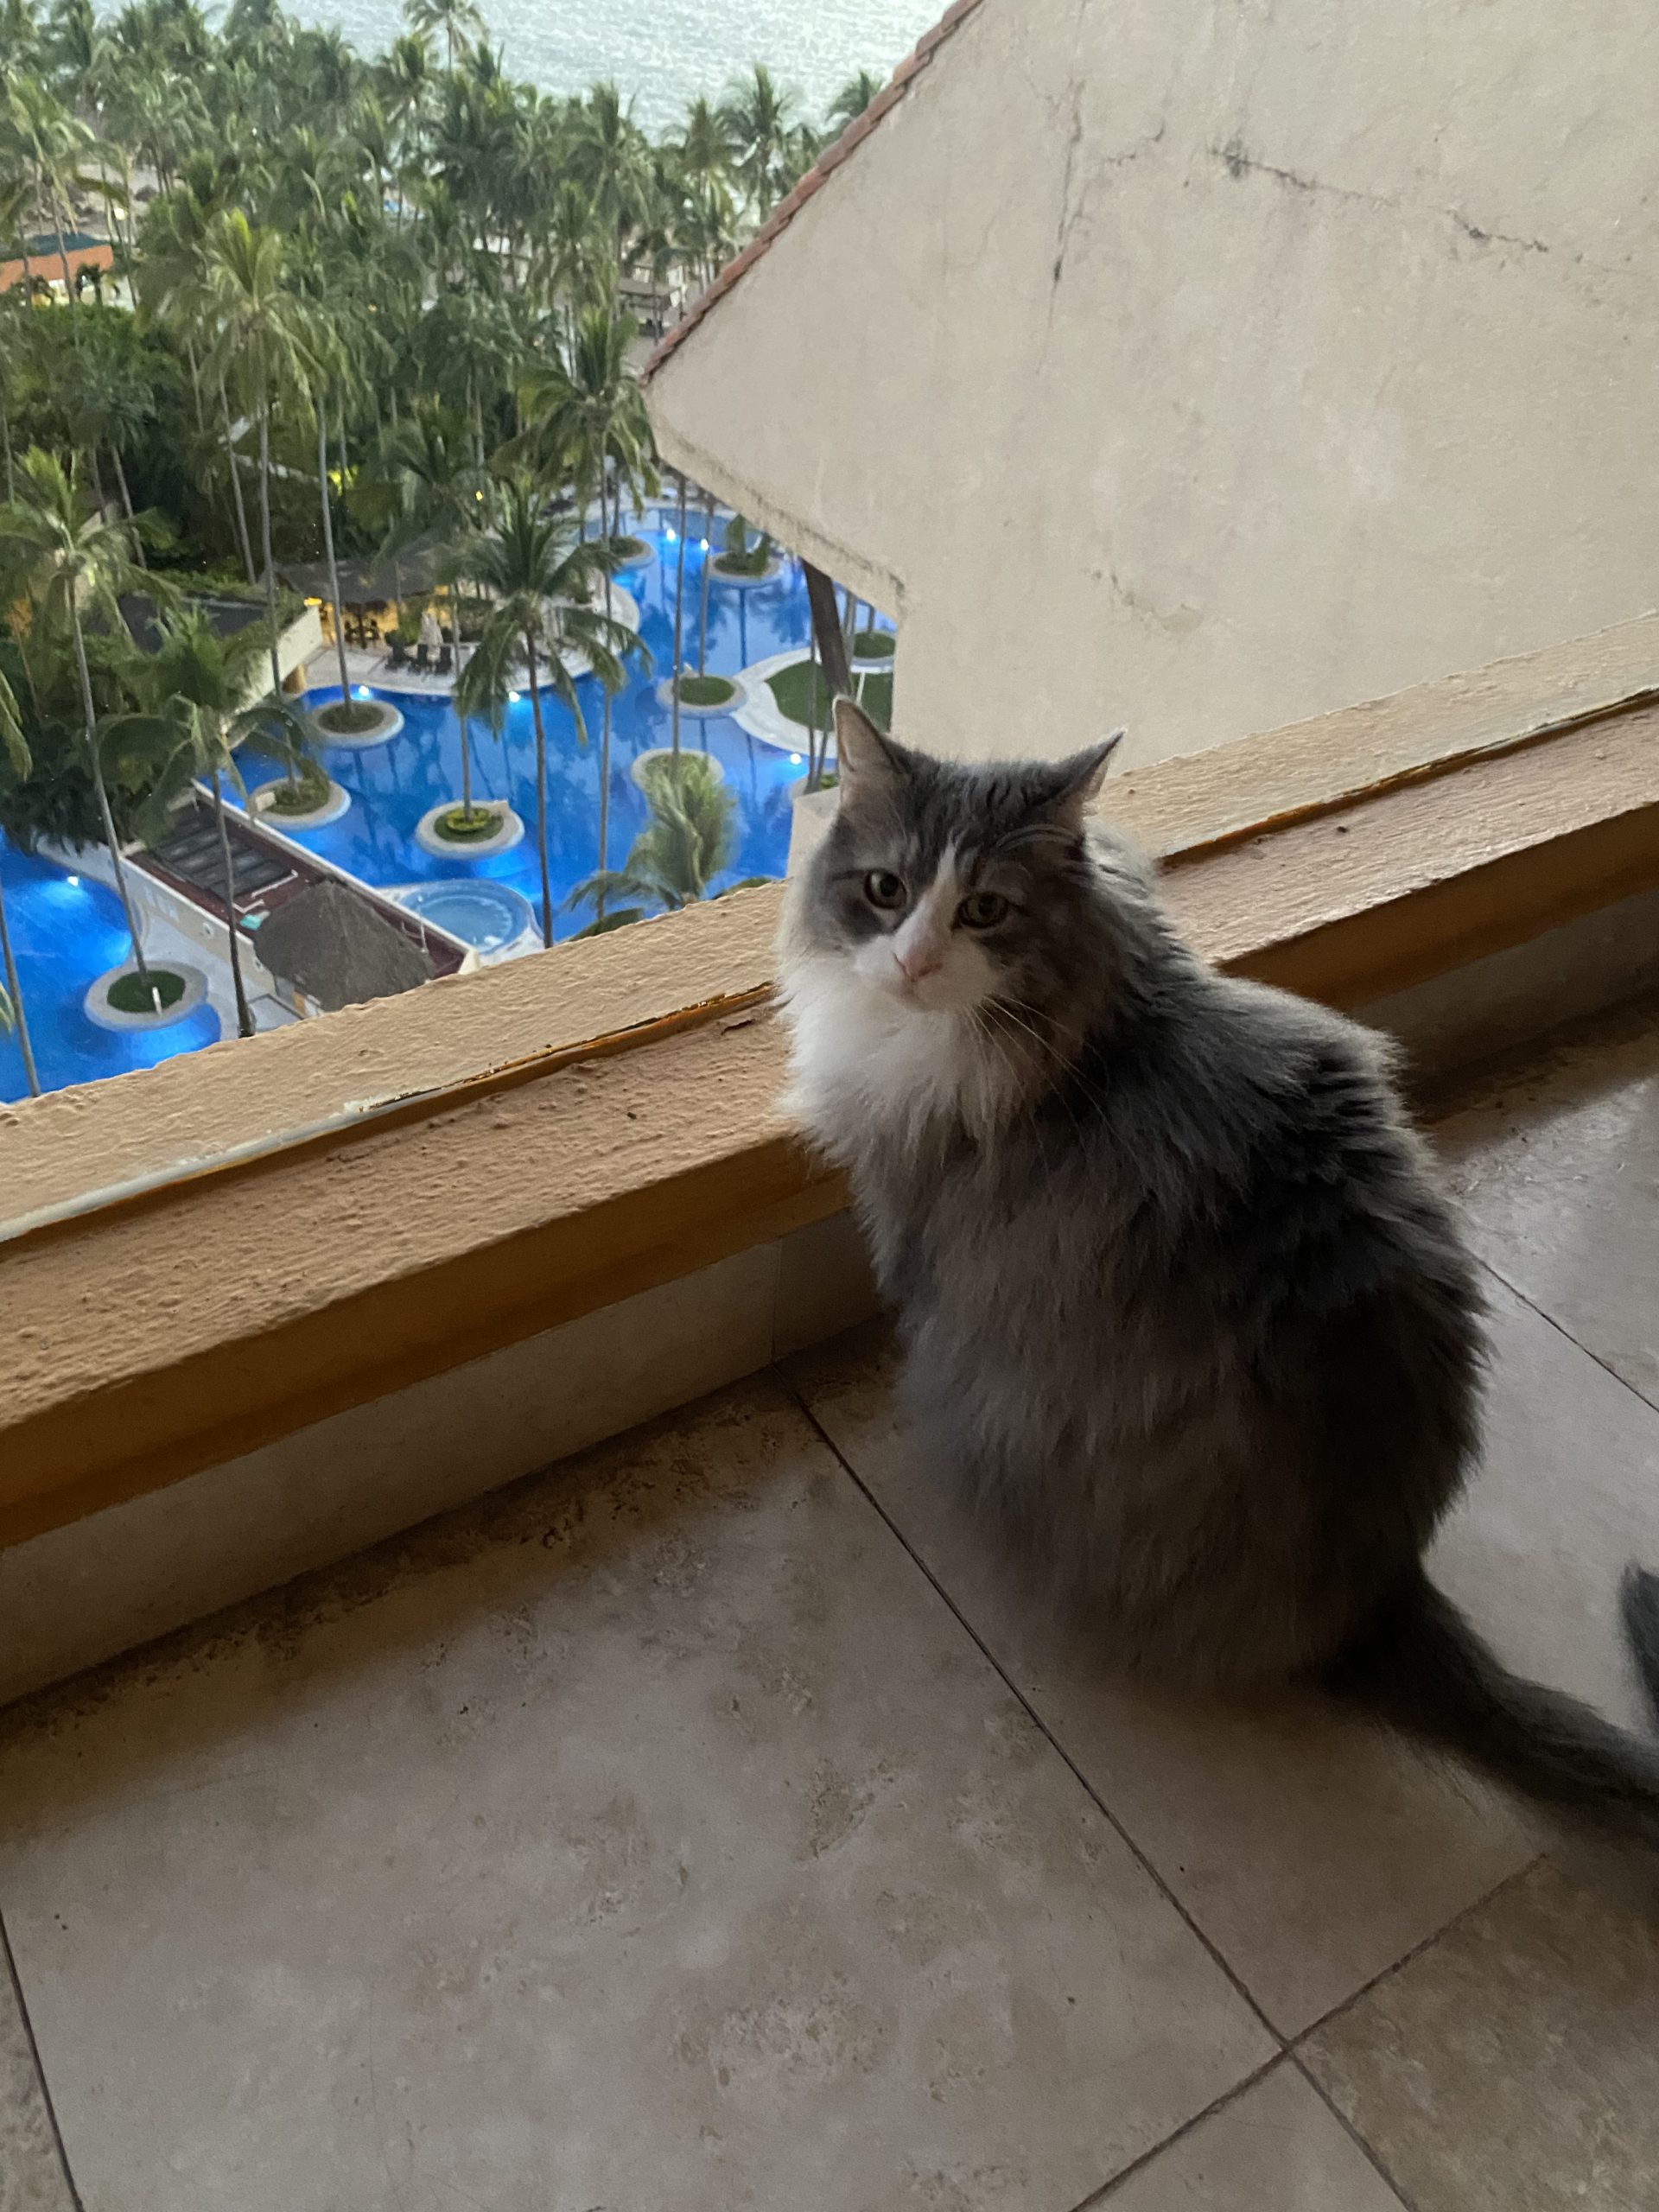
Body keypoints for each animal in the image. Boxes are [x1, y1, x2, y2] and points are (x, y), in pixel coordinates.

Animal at [783, 698, 1659, 1858]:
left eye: (984, 910)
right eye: (885, 889)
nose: (914, 961)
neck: (1097, 1026)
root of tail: (1377, 1593)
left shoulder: (915, 1229)